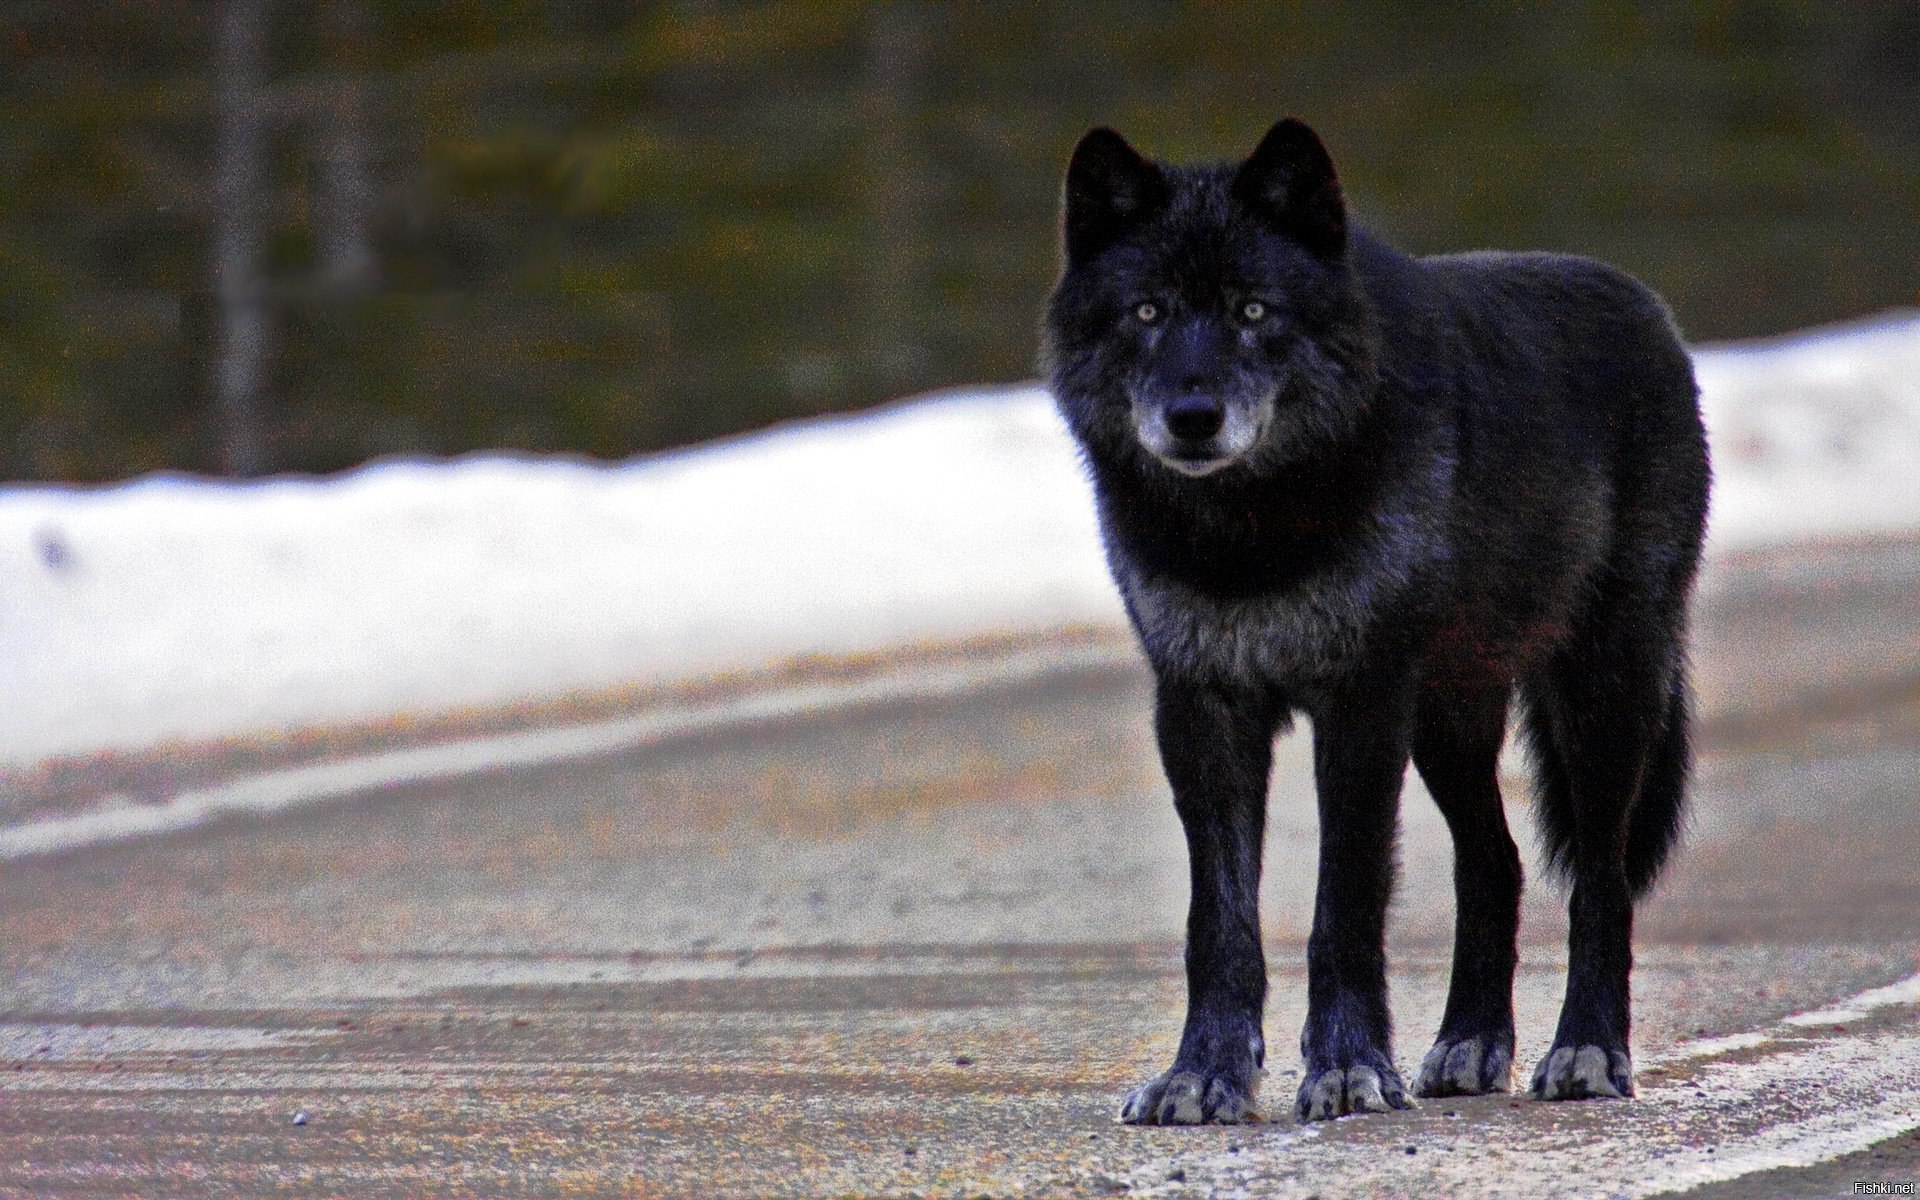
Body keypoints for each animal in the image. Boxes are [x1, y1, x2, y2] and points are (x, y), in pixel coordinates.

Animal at [1044, 117, 1720, 1121]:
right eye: (1148, 312)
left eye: (1254, 312)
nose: (1193, 416)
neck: (1249, 533)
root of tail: (1650, 309)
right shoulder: (1201, 709)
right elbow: (1219, 924)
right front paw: (1203, 1073)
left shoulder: (1360, 704)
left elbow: (1346, 906)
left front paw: (1348, 1067)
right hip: (1448, 718)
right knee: (1497, 863)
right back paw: (1472, 1044)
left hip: (1602, 697)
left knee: (1598, 881)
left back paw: (1587, 1051)